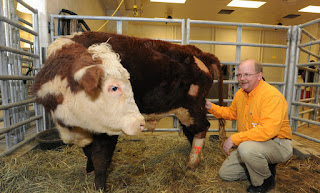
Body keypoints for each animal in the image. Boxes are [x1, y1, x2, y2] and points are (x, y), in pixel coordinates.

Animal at [33, 31, 225, 190]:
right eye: (114, 87)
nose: (138, 122)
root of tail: (196, 51)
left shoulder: (105, 129)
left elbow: (100, 157)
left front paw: (99, 186)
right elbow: (88, 152)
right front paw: (89, 169)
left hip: (193, 107)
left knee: (202, 128)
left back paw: (192, 161)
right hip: (183, 109)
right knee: (191, 131)